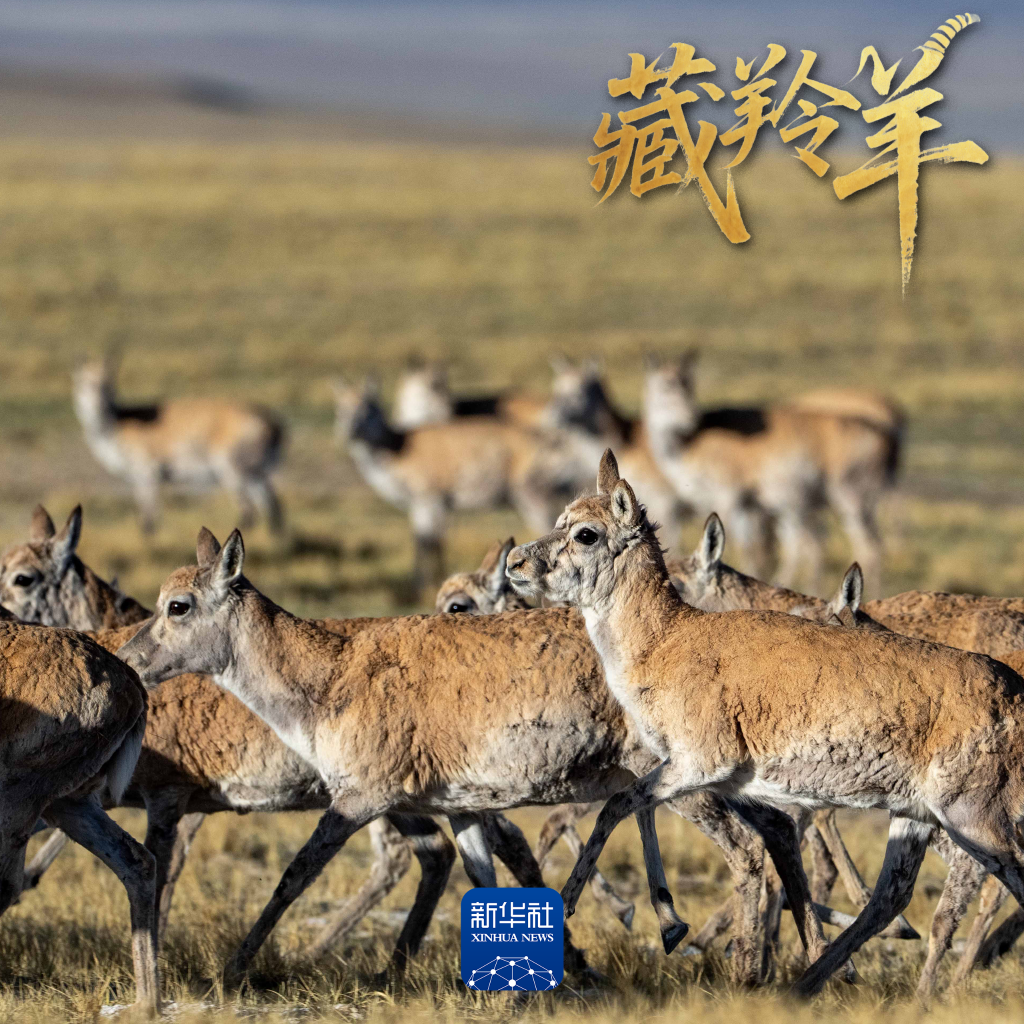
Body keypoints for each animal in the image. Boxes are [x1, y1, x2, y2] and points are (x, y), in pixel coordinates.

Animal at [0, 616, 159, 1014]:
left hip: (20, 799)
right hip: (69, 803)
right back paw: (146, 1004)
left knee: (7, 884)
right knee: (138, 862)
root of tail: (129, 684)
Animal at [73, 356, 285, 535]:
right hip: (256, 475)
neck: (119, 423)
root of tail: (272, 421)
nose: (99, 405)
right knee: (272, 507)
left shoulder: (147, 476)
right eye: (84, 384)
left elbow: (149, 520)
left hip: (234, 473)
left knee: (250, 512)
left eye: (109, 385)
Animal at [116, 527, 850, 989]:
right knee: (777, 831)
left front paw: (233, 970)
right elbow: (484, 881)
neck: (325, 674)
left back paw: (746, 971)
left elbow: (294, 875)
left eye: (178, 604)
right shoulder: (460, 807)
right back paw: (802, 963)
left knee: (748, 855)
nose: (129, 657)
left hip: (691, 787)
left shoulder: (359, 797)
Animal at [506, 449, 1024, 997]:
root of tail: (1010, 689)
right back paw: (808, 988)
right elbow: (646, 809)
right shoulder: (717, 782)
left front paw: (589, 905)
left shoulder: (698, 765)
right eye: (560, 517)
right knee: (890, 898)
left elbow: (618, 805)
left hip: (972, 820)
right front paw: (673, 926)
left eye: (586, 533)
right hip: (915, 819)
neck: (667, 640)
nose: (514, 562)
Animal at [644, 353, 903, 596]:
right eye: (665, 386)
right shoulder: (753, 509)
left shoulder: (730, 499)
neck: (690, 443)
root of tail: (884, 433)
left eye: (689, 385)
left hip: (849, 502)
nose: (691, 418)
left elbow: (744, 547)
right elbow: (756, 551)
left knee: (868, 549)